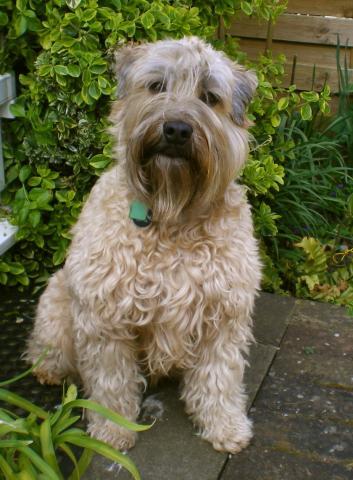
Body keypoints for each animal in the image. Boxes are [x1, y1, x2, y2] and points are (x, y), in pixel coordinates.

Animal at [25, 37, 262, 454]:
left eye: (210, 96)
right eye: (156, 86)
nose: (178, 129)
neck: (171, 216)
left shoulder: (224, 316)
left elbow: (219, 378)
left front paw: (225, 426)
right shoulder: (104, 319)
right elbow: (111, 382)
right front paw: (113, 430)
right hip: (57, 302)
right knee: (46, 347)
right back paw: (48, 371)